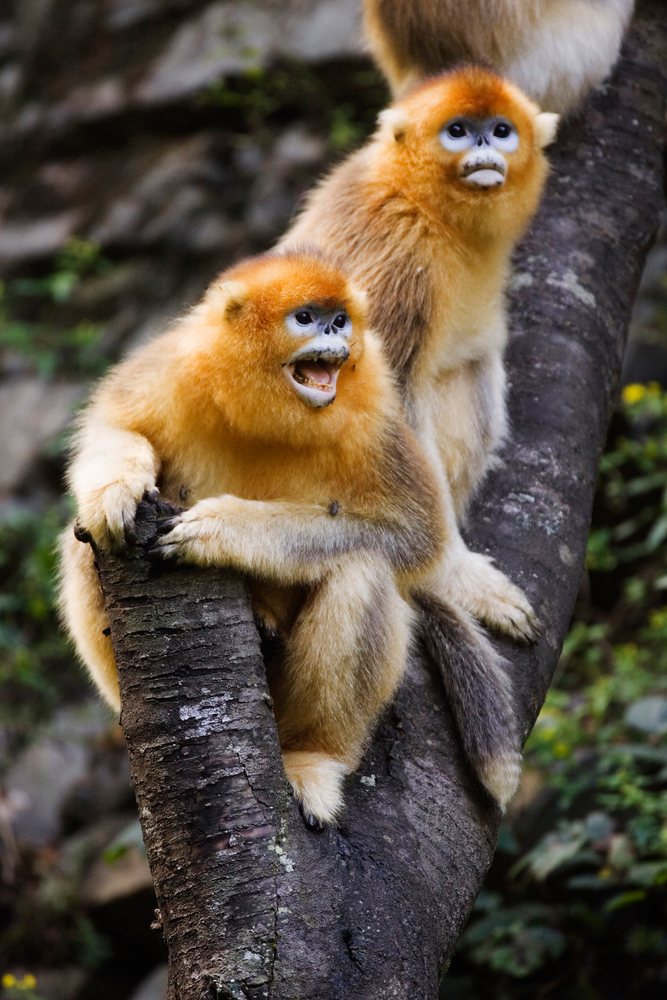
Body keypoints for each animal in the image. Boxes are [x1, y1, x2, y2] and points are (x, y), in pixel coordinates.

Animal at [58, 249, 522, 825]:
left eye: (340, 319)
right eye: (306, 318)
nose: (333, 334)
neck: (269, 415)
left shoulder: (376, 409)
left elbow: (415, 535)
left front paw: (222, 529)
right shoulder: (173, 369)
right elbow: (112, 427)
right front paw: (117, 492)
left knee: (362, 570)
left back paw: (313, 758)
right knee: (82, 544)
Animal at [278, 66, 558, 656]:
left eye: (501, 130)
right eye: (458, 130)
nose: (483, 147)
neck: (426, 206)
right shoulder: (401, 261)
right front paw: (457, 578)